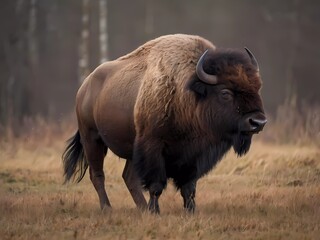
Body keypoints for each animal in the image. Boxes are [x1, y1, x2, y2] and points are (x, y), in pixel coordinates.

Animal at [62, 33, 264, 214]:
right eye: (225, 93)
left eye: (257, 87)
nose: (258, 121)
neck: (188, 93)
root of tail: (84, 87)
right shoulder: (153, 147)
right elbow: (156, 185)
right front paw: (155, 211)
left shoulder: (194, 156)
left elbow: (189, 187)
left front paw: (190, 211)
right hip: (92, 139)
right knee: (98, 175)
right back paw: (108, 209)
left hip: (130, 148)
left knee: (128, 177)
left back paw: (142, 209)